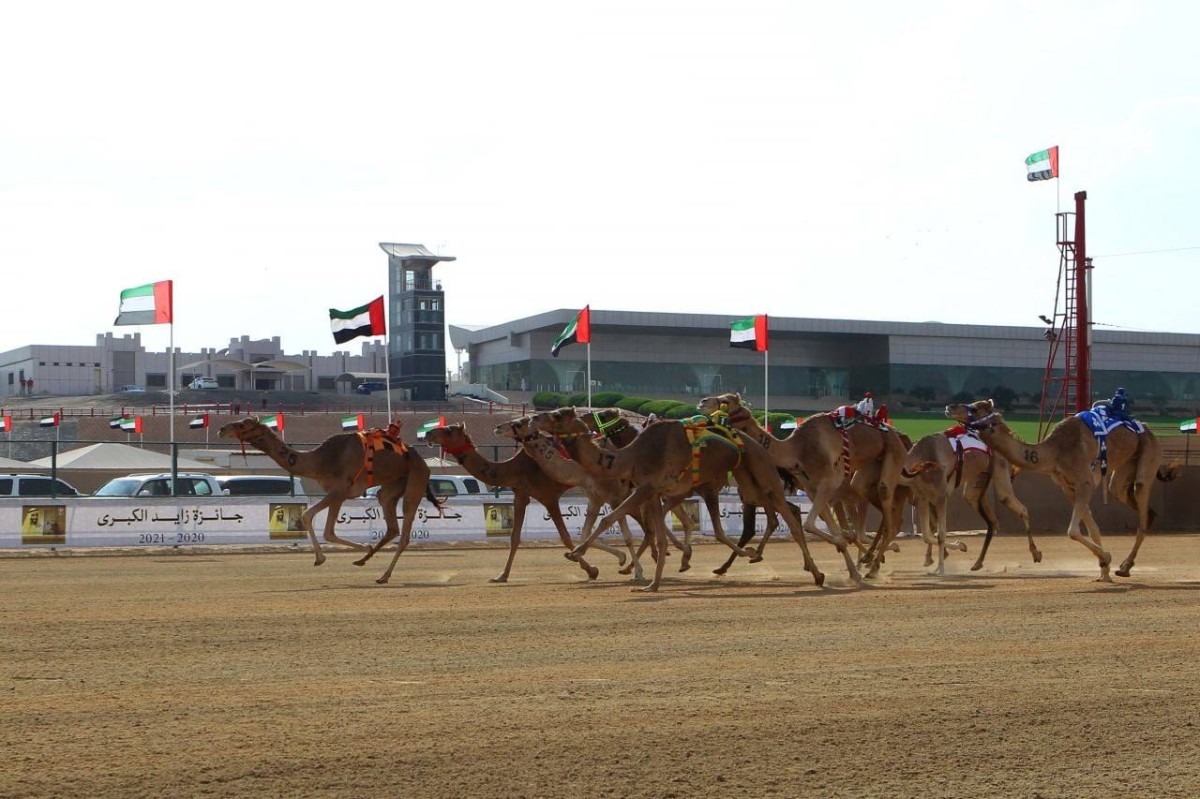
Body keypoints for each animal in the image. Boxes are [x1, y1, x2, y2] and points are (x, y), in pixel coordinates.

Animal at [219, 412, 436, 583]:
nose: (221, 429)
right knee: (390, 521)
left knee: (405, 531)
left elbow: (310, 518)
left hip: (415, 480)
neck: (320, 461)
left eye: (242, 424)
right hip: (393, 484)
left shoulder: (340, 490)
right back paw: (364, 561)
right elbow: (326, 530)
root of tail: (423, 462)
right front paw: (361, 550)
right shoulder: (337, 494)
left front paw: (324, 557)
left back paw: (383, 576)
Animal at [424, 422, 628, 578]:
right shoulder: (521, 495)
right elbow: (514, 537)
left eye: (449, 430)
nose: (427, 433)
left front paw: (591, 570)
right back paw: (622, 557)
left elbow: (565, 536)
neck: (514, 468)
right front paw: (502, 575)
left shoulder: (549, 497)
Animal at [530, 407, 830, 587]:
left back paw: (816, 573)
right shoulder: (655, 492)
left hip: (761, 472)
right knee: (776, 515)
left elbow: (612, 519)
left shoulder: (647, 488)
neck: (630, 455)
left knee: (788, 517)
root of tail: (761, 444)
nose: (532, 419)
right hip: (747, 483)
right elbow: (656, 531)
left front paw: (577, 553)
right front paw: (654, 577)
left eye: (557, 415)